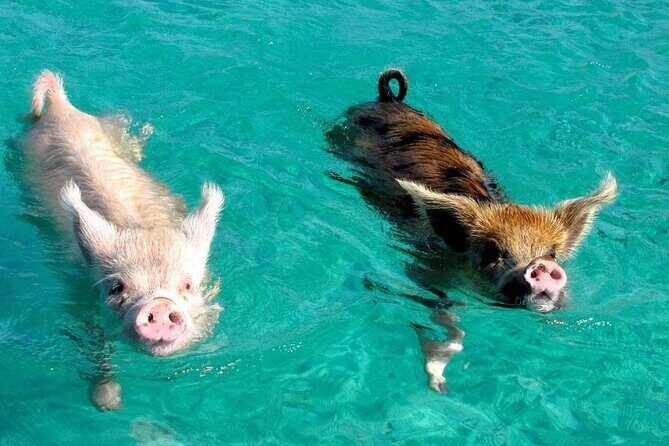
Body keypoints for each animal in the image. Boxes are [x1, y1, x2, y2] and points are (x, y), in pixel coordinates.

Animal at [20, 70, 224, 410]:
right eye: (117, 287)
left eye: (187, 285)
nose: (159, 304)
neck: (143, 230)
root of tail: (61, 108)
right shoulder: (82, 302)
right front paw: (109, 403)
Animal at [327, 68, 617, 391]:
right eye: (491, 252)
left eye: (552, 253)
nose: (540, 265)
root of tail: (389, 98)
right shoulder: (426, 269)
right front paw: (438, 384)